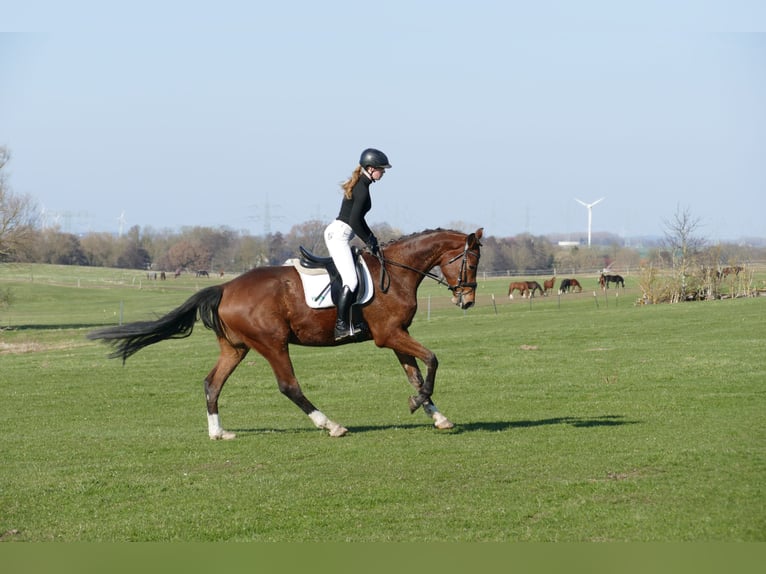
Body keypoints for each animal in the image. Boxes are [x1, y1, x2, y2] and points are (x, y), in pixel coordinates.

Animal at [87, 228, 483, 439]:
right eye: (471, 261)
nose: (467, 300)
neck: (398, 272)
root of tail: (225, 288)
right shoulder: (389, 335)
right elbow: (432, 359)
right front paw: (419, 405)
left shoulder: (398, 334)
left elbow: (416, 374)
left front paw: (434, 413)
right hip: (273, 344)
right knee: (289, 386)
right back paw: (331, 425)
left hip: (236, 348)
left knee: (211, 383)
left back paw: (219, 432)